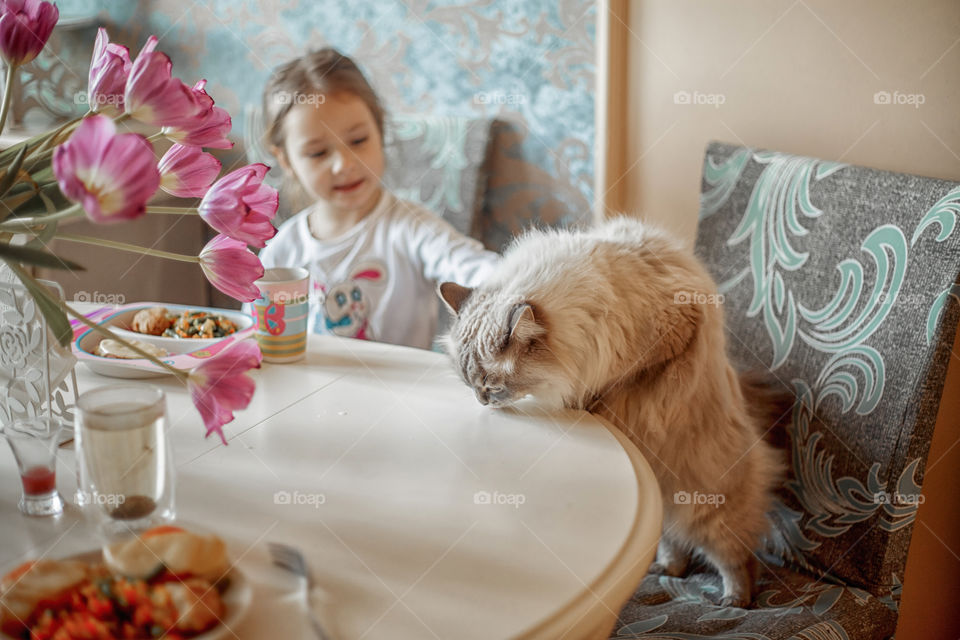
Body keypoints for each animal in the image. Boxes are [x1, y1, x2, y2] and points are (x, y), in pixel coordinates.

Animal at [438, 216, 784, 604]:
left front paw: (594, 403)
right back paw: (666, 569)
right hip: (668, 507)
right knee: (675, 546)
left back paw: (735, 599)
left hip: (708, 512)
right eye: (469, 384)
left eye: (492, 388)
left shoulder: (671, 333)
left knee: (735, 559)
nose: (482, 401)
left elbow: (619, 383)